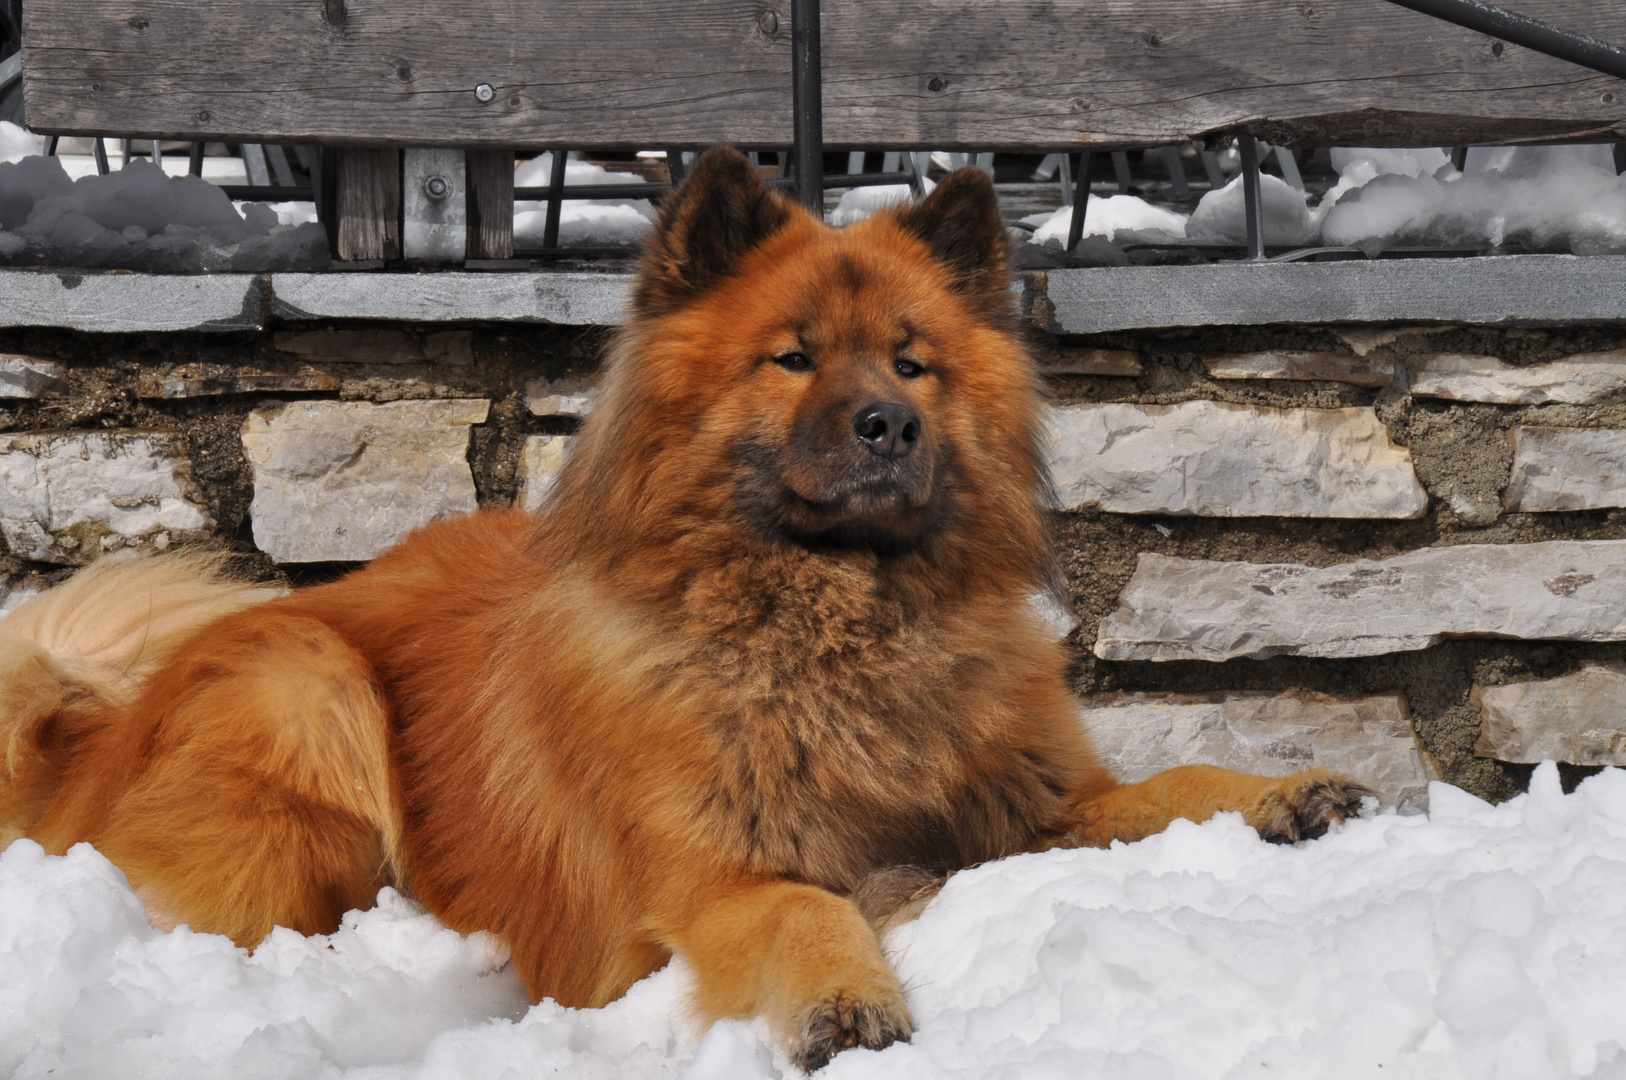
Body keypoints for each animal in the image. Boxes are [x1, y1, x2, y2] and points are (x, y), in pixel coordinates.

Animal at [0, 152, 1372, 1073]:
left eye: (914, 361)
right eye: (794, 356)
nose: (894, 425)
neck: (836, 630)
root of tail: (93, 734)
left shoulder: (1035, 798)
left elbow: (1163, 789)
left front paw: (1279, 793)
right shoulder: (711, 880)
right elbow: (809, 903)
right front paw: (846, 997)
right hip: (308, 679)